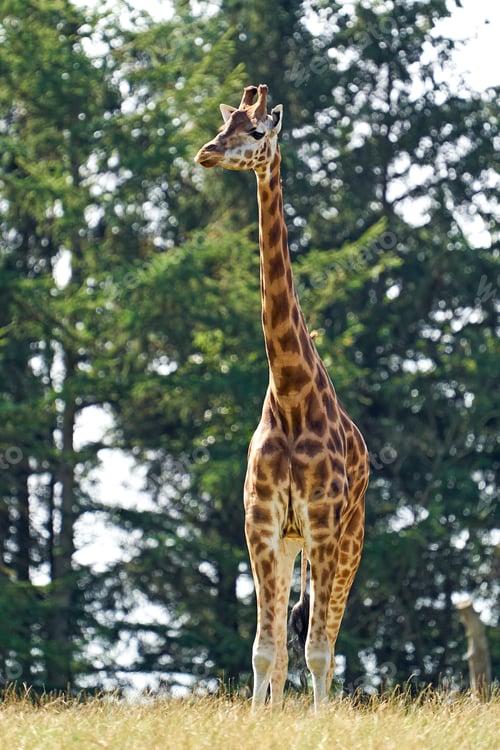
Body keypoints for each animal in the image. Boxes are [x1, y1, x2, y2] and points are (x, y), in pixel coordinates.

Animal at [195, 84, 369, 710]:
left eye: (256, 132)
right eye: (225, 124)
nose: (206, 153)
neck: (291, 394)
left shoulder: (322, 522)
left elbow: (316, 649)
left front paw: (319, 721)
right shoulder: (263, 522)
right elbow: (265, 651)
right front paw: (258, 717)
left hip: (348, 539)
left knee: (327, 641)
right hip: (296, 545)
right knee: (290, 641)